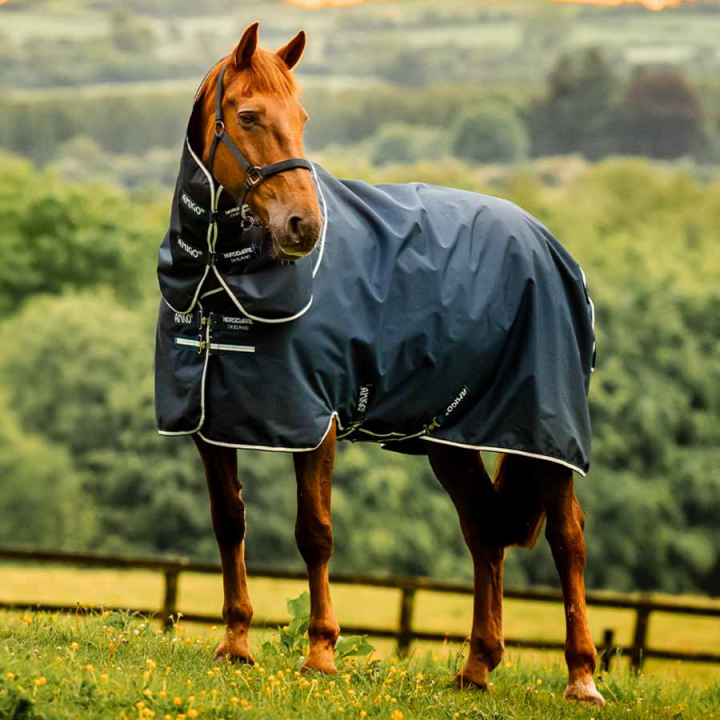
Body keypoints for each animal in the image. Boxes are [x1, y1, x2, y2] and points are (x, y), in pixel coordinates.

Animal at [156, 22, 605, 708]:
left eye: (303, 118)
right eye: (250, 115)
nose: (304, 227)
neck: (217, 283)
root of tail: (551, 245)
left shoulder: (315, 423)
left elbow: (314, 531)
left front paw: (320, 653)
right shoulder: (211, 423)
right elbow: (229, 523)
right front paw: (235, 645)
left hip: (544, 434)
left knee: (568, 540)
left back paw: (582, 678)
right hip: (452, 438)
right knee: (484, 532)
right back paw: (476, 668)